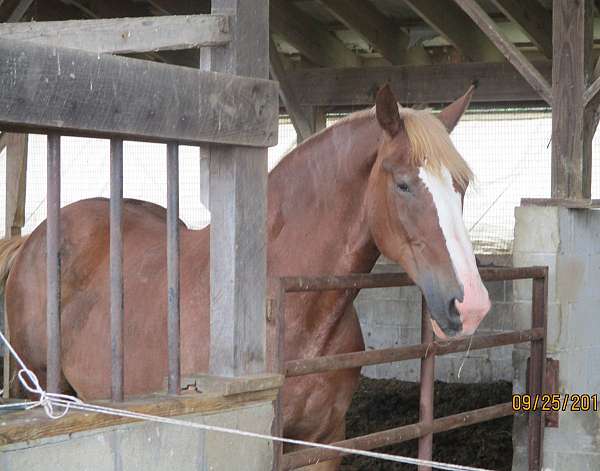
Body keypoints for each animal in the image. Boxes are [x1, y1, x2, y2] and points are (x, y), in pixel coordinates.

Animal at [1, 86, 488, 470]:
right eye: (403, 184)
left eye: (461, 186)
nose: (472, 305)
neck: (284, 309)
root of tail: (33, 240)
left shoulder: (323, 442)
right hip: (46, 391)